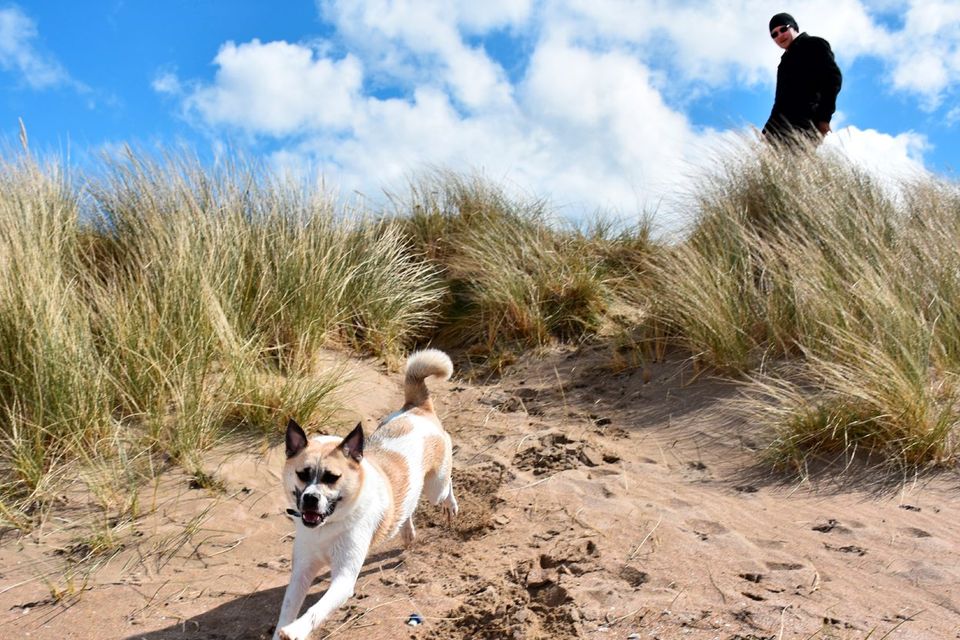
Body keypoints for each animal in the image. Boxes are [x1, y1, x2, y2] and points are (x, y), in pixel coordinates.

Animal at [274, 350, 458, 640]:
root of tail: (417, 407)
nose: (310, 499)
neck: (328, 527)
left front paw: (297, 630)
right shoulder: (301, 572)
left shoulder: (344, 578)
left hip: (435, 488)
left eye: (331, 477)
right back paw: (407, 532)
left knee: (446, 487)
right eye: (303, 474)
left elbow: (316, 610)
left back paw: (450, 506)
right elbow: (287, 610)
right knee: (407, 507)